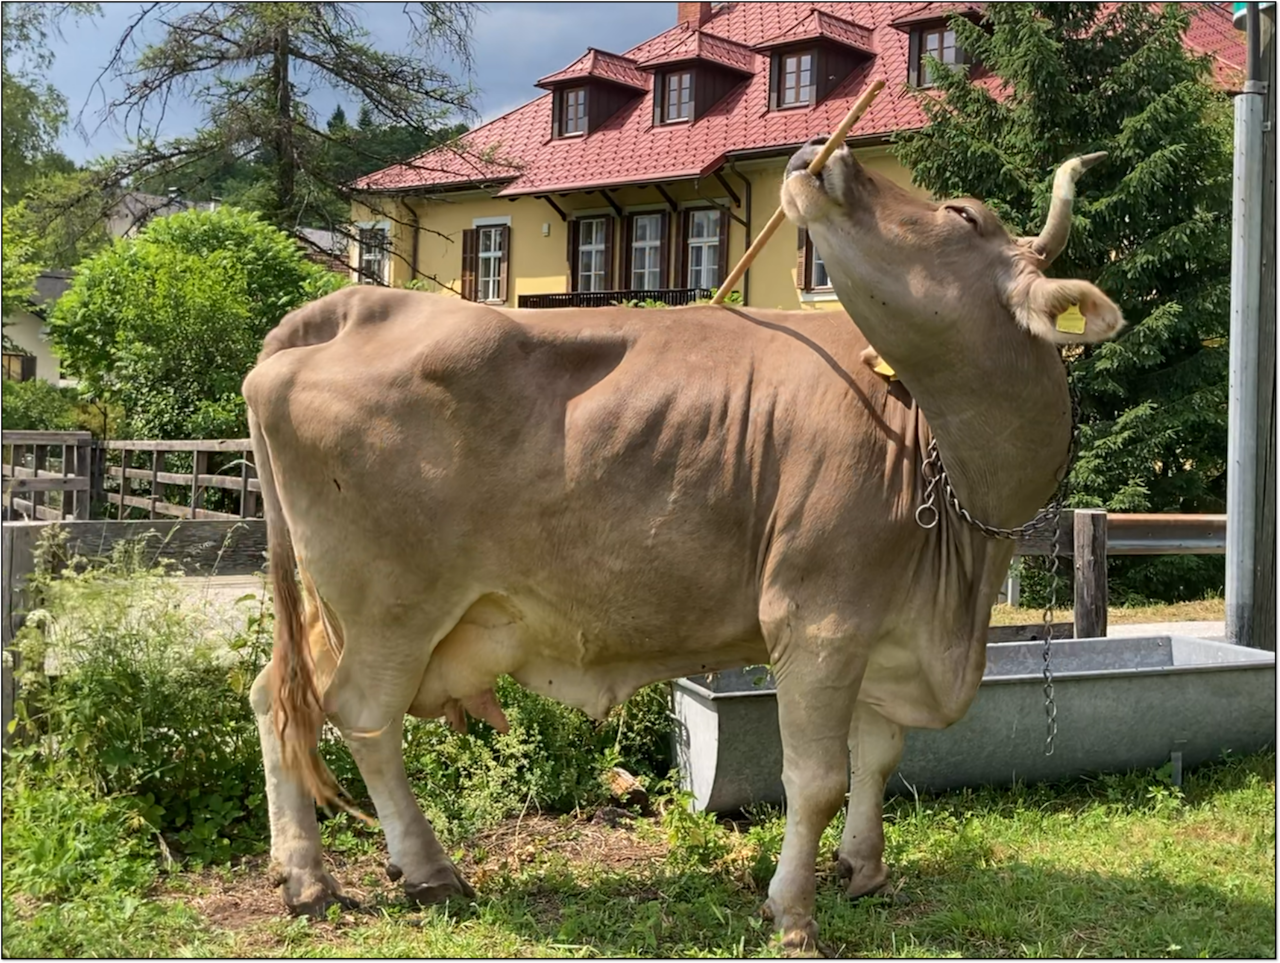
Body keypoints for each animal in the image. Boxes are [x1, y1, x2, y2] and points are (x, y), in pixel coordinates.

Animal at [242, 140, 1122, 953]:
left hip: (336, 609)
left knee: (276, 697)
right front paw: (792, 912)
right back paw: (427, 869)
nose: (820, 153)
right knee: (362, 718)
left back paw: (305, 874)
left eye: (961, 215)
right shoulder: (818, 617)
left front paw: (864, 869)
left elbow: (877, 754)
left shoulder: (888, 625)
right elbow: (816, 778)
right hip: (391, 605)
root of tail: (357, 305)